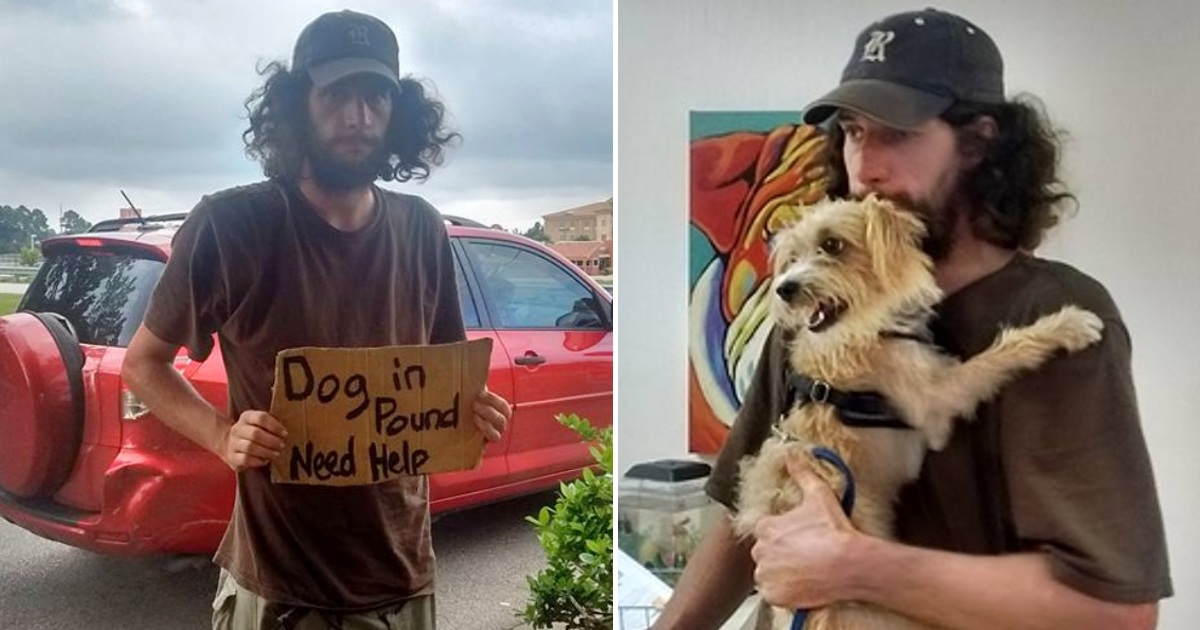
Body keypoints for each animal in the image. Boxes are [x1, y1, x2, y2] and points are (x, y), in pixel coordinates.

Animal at [729, 194, 1104, 624]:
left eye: (832, 245)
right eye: (792, 258)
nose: (784, 289)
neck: (870, 329)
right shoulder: (936, 402)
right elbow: (1000, 352)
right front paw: (1066, 325)